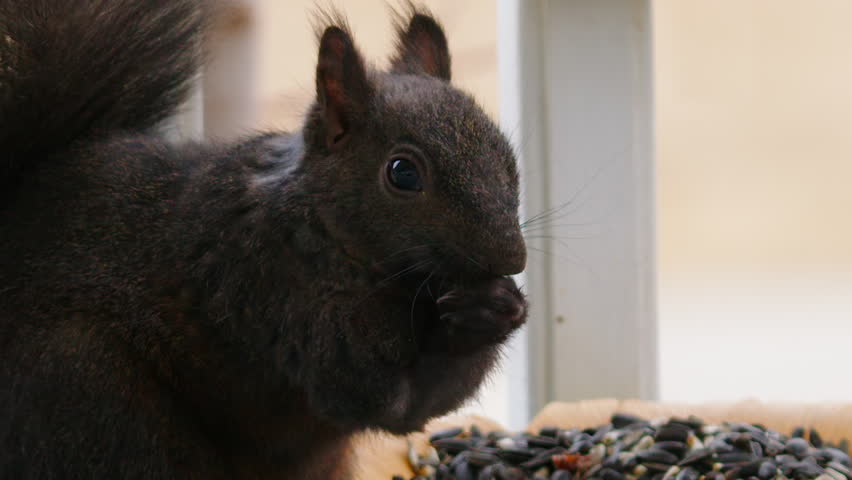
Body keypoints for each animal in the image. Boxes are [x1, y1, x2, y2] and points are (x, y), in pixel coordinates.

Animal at [0, 0, 527, 478]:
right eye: (402, 172)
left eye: (506, 155)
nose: (512, 259)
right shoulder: (275, 286)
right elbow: (388, 403)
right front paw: (481, 316)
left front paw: (507, 305)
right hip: (92, 395)